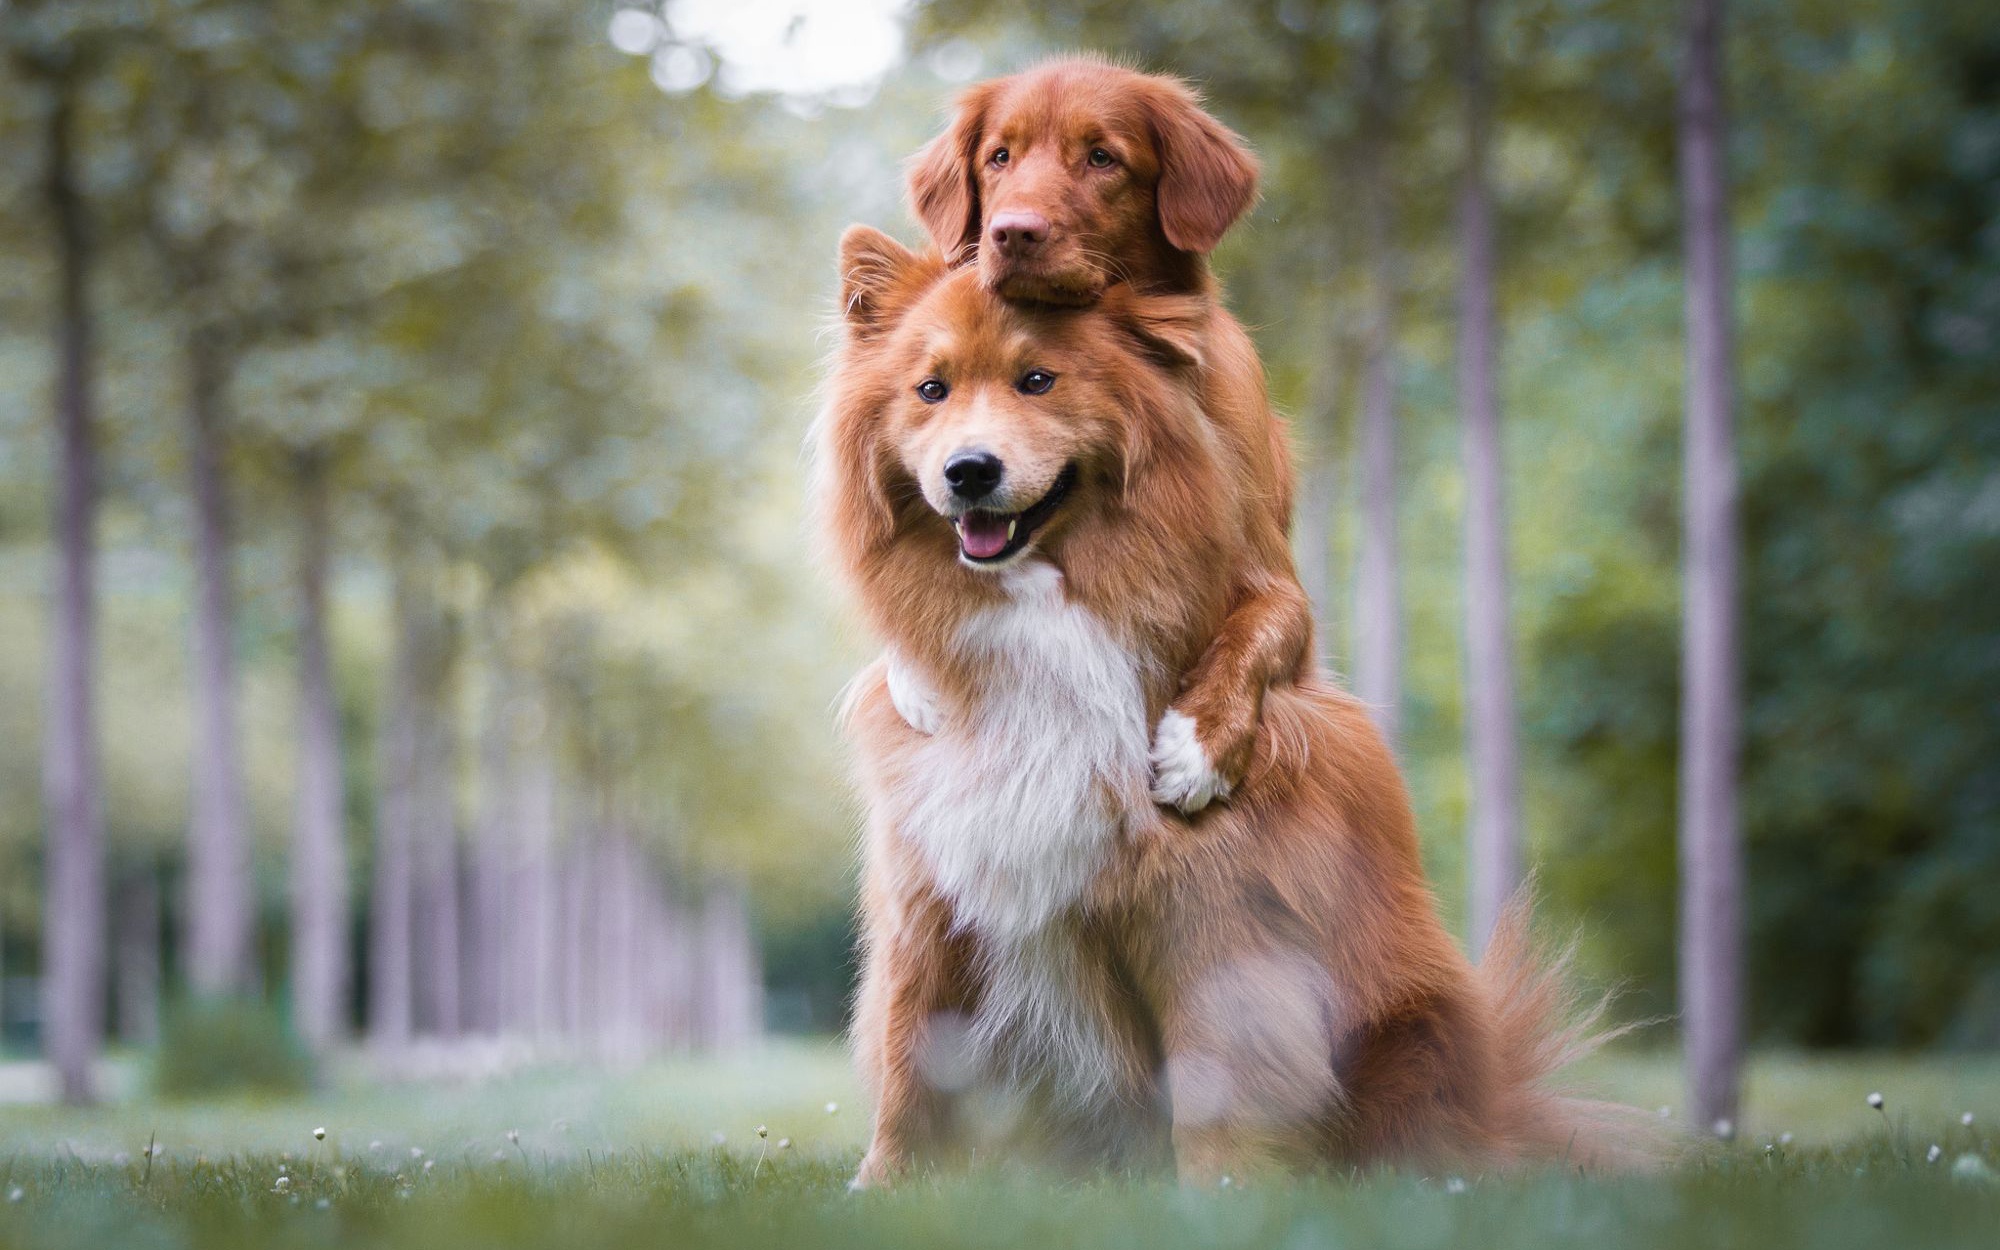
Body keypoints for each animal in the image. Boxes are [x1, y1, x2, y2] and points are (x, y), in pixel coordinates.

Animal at [812, 227, 1640, 1192]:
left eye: (1038, 380)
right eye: (930, 390)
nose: (968, 471)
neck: (1050, 613)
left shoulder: (1211, 912)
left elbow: (1218, 1075)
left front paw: (1222, 1197)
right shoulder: (933, 893)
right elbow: (911, 1060)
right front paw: (885, 1188)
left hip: (1413, 1024)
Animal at [904, 58, 1312, 816]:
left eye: (1102, 157)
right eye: (998, 156)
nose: (1013, 232)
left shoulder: (1278, 580)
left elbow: (1262, 628)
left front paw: (1201, 744)